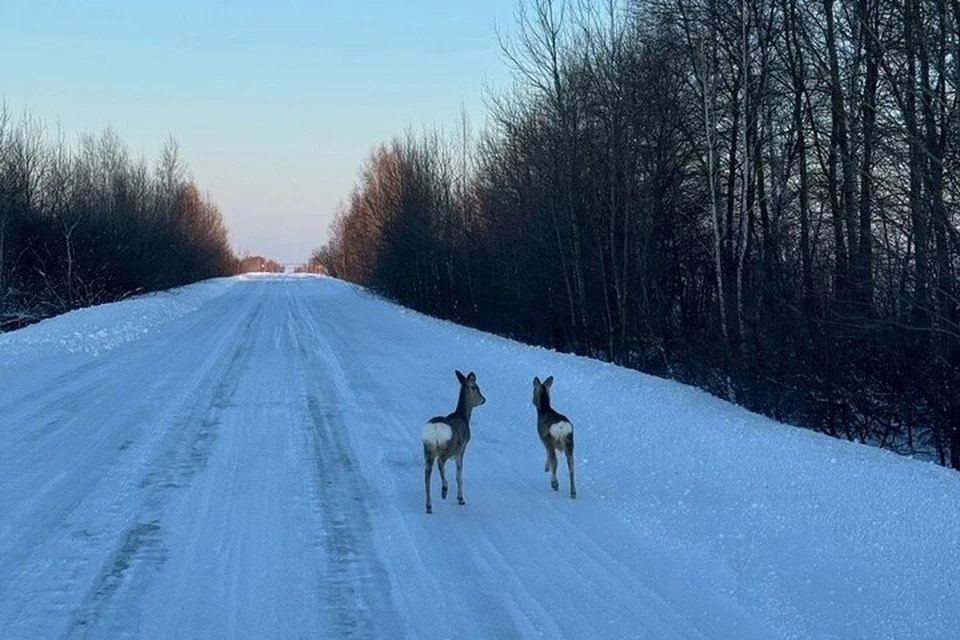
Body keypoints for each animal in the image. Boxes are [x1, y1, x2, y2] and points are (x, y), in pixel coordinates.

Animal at [422, 370, 488, 516]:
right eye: (476, 388)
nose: (484, 399)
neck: (463, 417)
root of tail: (435, 429)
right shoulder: (462, 448)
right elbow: (459, 472)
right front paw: (461, 498)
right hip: (449, 447)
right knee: (440, 462)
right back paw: (444, 490)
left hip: (428, 449)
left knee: (427, 473)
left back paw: (429, 506)